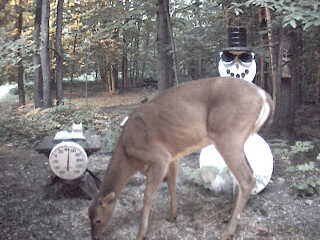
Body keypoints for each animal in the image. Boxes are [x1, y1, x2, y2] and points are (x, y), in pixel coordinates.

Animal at [89, 77, 274, 240]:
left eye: (98, 220)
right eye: (87, 217)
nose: (94, 237)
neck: (129, 154)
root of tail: (263, 95)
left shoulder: (160, 157)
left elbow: (148, 195)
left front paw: (141, 233)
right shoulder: (173, 157)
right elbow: (172, 185)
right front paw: (173, 215)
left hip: (229, 135)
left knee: (247, 179)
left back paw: (228, 232)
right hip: (242, 137)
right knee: (248, 174)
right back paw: (229, 216)